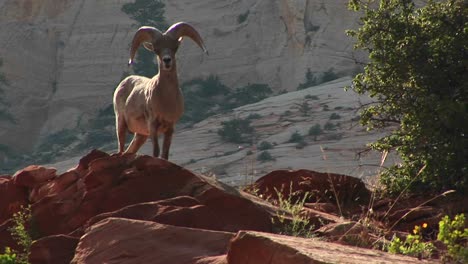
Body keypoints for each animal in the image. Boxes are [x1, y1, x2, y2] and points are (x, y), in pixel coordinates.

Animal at [112, 22, 207, 159]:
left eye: (175, 47)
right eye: (156, 50)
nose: (167, 60)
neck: (166, 100)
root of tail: (123, 84)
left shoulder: (170, 128)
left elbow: (165, 154)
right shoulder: (153, 126)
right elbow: (156, 152)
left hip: (141, 135)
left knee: (130, 150)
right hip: (121, 123)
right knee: (120, 148)